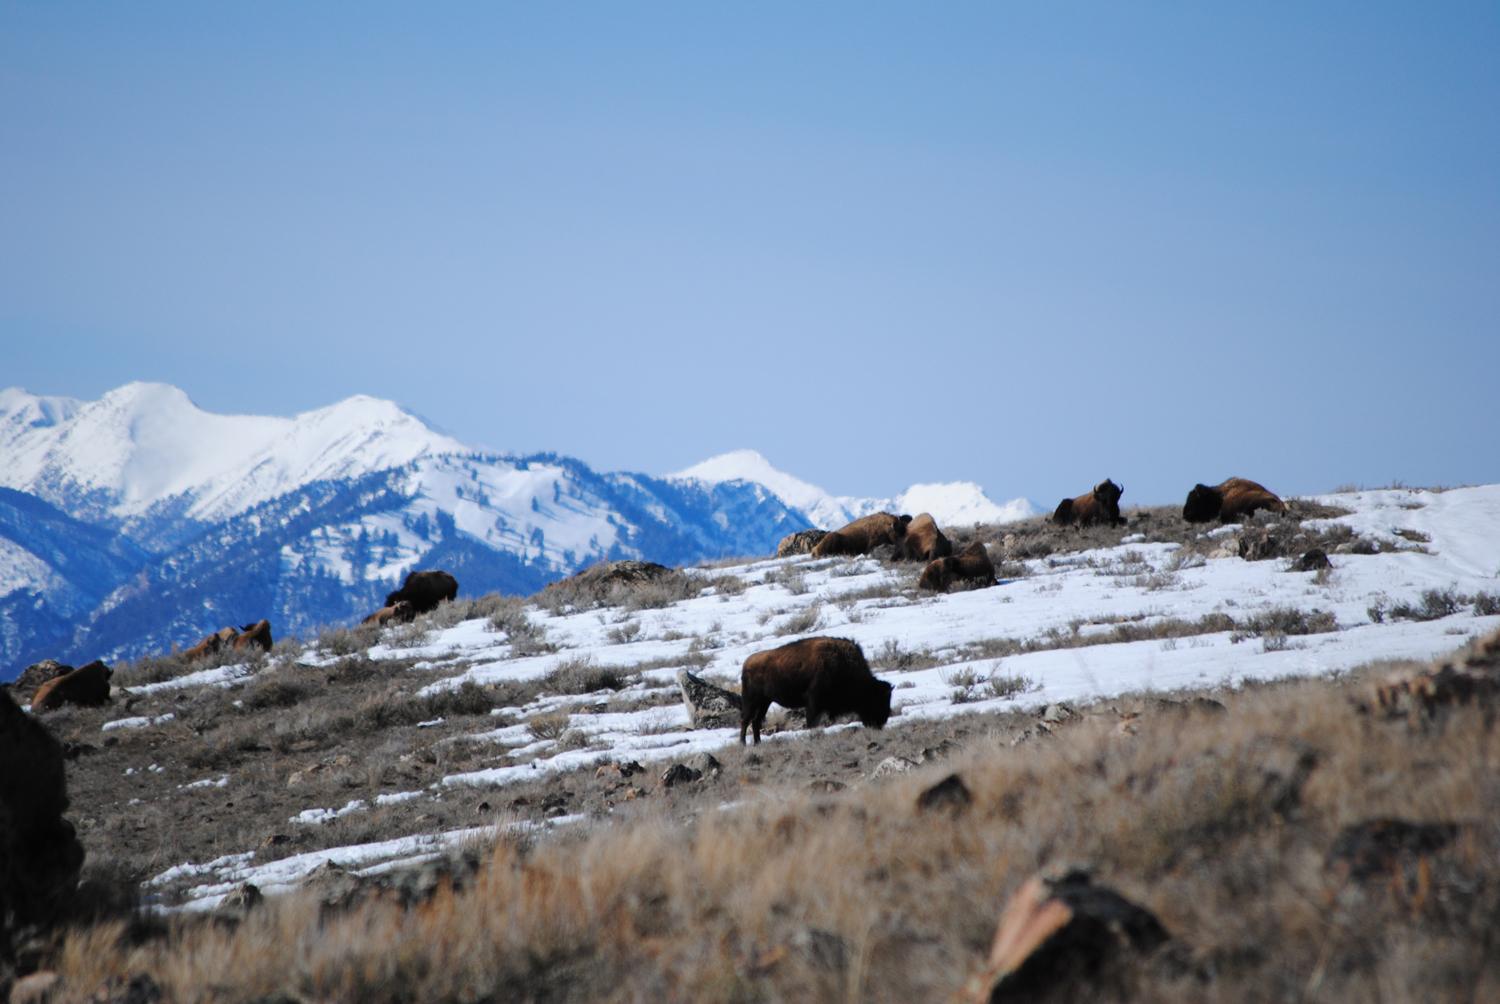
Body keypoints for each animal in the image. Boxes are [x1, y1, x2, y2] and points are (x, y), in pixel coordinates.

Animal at [739, 637, 893, 745]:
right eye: (878, 699)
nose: (881, 722)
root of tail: (747, 663)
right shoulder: (813, 702)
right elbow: (812, 722)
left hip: (765, 702)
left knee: (756, 722)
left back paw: (757, 744)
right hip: (752, 701)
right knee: (746, 720)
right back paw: (743, 744)